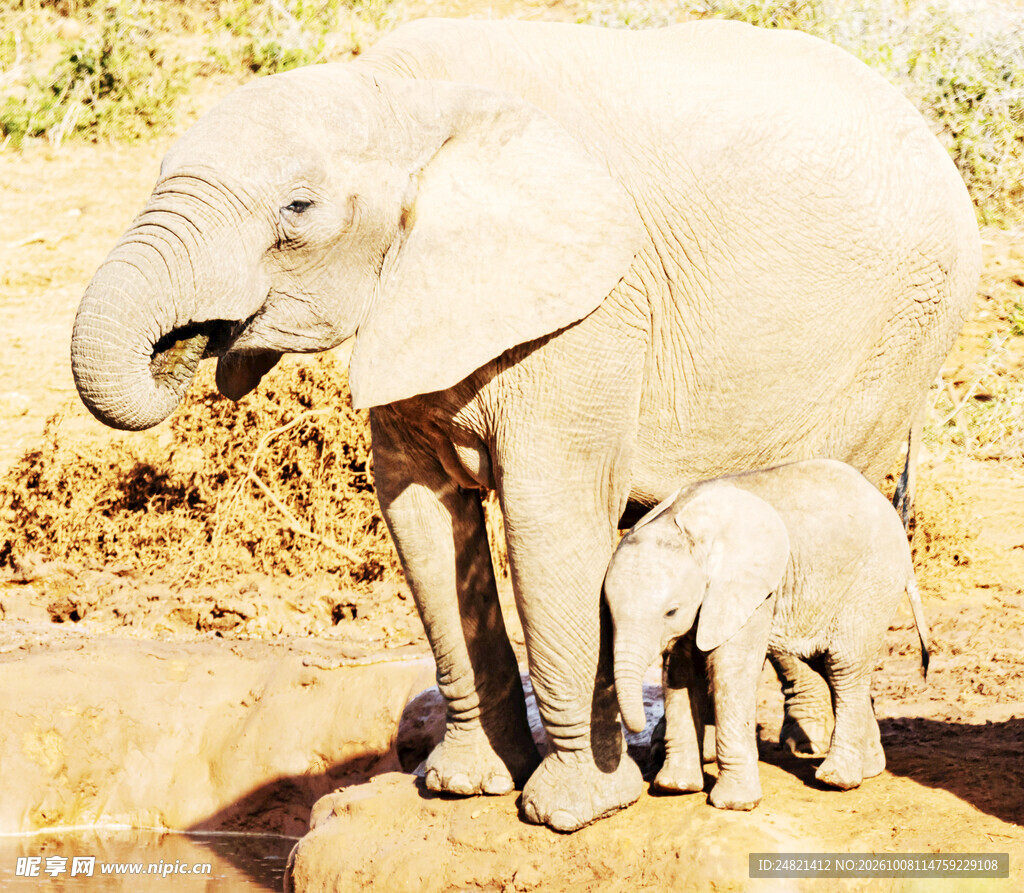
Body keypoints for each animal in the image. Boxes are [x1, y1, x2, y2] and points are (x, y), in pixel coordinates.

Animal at [604, 458, 931, 810]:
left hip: (872, 582)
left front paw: (734, 804)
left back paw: (836, 780)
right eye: (608, 611)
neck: (680, 524)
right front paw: (675, 787)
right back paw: (869, 768)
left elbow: (730, 667)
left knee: (844, 666)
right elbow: (680, 669)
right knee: (828, 665)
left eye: (671, 611)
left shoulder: (751, 588)